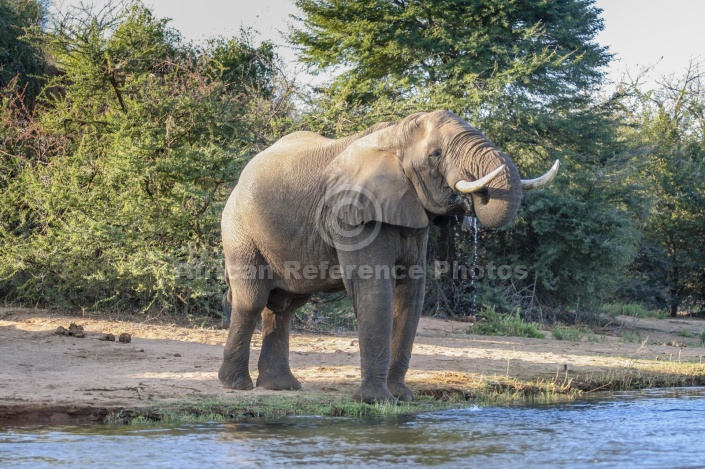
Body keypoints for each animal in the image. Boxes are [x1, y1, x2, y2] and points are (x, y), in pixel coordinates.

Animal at [217, 109, 560, 402]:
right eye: (436, 155)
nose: (472, 202)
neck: (395, 135)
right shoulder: (353, 217)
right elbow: (375, 289)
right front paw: (376, 401)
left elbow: (411, 293)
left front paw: (402, 397)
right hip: (238, 230)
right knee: (252, 301)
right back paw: (236, 385)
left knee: (284, 307)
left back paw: (281, 387)